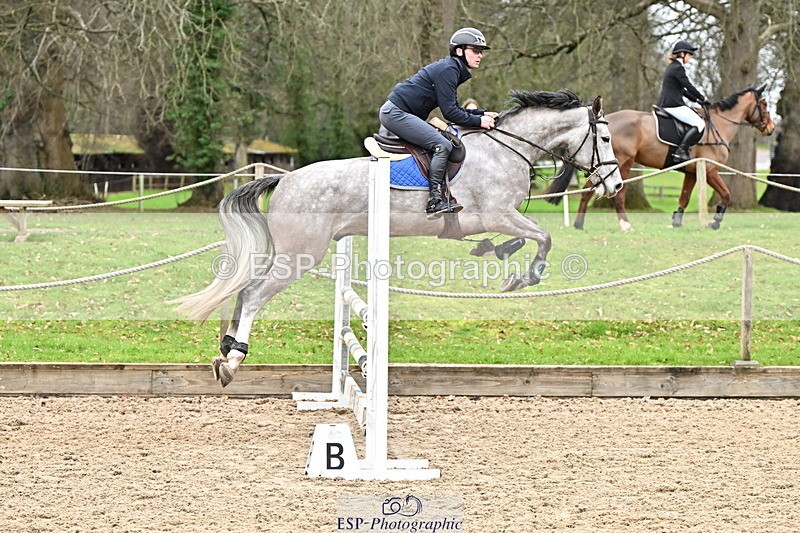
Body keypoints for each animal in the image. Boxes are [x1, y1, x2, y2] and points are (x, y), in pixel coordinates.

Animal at [173, 90, 624, 387]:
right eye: (604, 139)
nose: (615, 186)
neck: (506, 150)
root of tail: (284, 179)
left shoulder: (498, 219)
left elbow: (524, 239)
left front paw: (497, 252)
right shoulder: (498, 214)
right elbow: (543, 238)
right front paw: (521, 278)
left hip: (290, 252)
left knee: (243, 289)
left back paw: (226, 352)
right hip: (300, 256)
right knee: (253, 295)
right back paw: (234, 361)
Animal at [545, 84, 775, 231]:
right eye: (764, 105)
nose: (771, 129)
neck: (718, 125)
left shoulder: (692, 172)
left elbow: (684, 197)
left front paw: (676, 221)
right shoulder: (710, 170)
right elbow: (726, 194)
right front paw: (715, 221)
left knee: (587, 191)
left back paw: (579, 224)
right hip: (622, 164)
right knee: (617, 194)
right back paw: (624, 225)